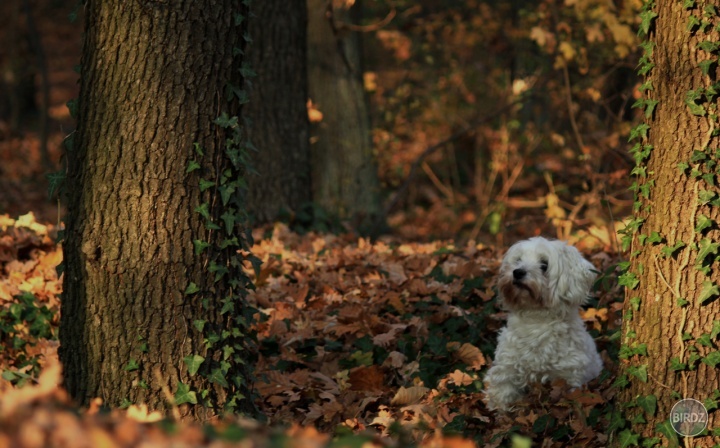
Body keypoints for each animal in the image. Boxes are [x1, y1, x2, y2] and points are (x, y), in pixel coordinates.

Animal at [484, 236, 600, 412]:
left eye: (544, 265)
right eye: (518, 260)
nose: (517, 272)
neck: (536, 321)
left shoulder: (570, 374)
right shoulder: (507, 367)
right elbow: (502, 393)